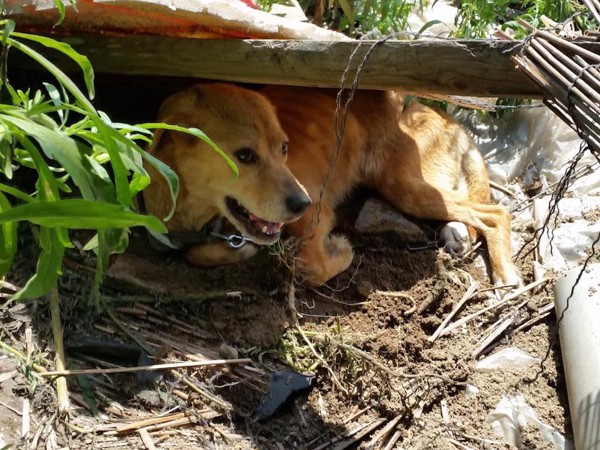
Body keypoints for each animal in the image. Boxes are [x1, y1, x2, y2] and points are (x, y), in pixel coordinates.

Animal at [142, 83, 520, 288]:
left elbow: (310, 267)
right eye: (244, 155)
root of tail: (442, 114)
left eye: (284, 147)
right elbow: (195, 253)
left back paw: (505, 274)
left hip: (404, 186)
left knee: (494, 212)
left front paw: (342, 250)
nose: (301, 203)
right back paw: (456, 234)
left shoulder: (318, 215)